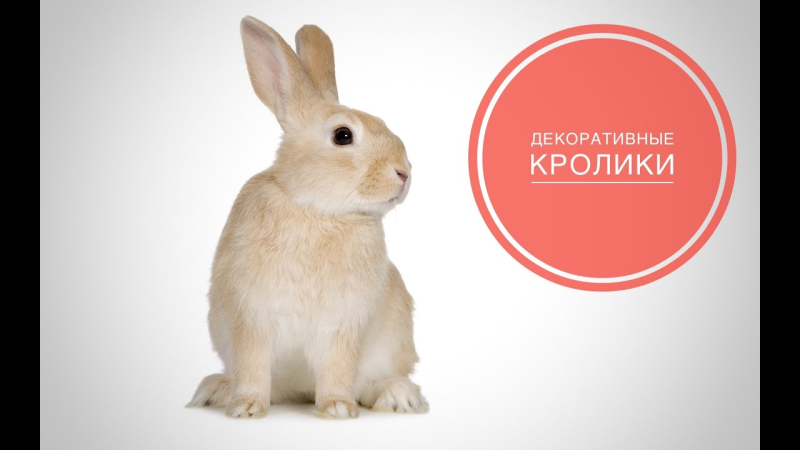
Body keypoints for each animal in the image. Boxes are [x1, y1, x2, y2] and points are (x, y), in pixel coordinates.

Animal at [187, 16, 427, 419]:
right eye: (343, 135)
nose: (404, 173)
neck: (316, 208)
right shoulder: (251, 318)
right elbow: (252, 366)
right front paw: (246, 408)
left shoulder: (343, 325)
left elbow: (338, 368)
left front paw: (338, 409)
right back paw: (216, 390)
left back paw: (398, 396)